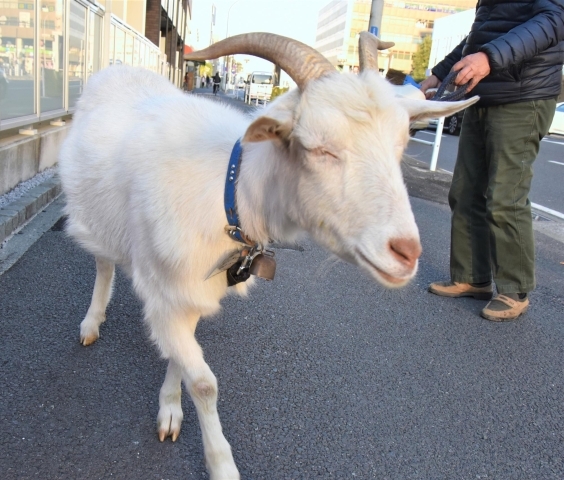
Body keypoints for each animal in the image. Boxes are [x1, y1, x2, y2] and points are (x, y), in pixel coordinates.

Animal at [59, 33, 478, 480]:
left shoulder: (188, 293)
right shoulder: (164, 291)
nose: (407, 252)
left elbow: (182, 362)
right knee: (103, 263)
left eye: (400, 147)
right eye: (319, 148)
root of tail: (119, 67)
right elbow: (205, 383)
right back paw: (91, 322)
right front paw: (222, 465)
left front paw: (170, 410)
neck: (231, 193)